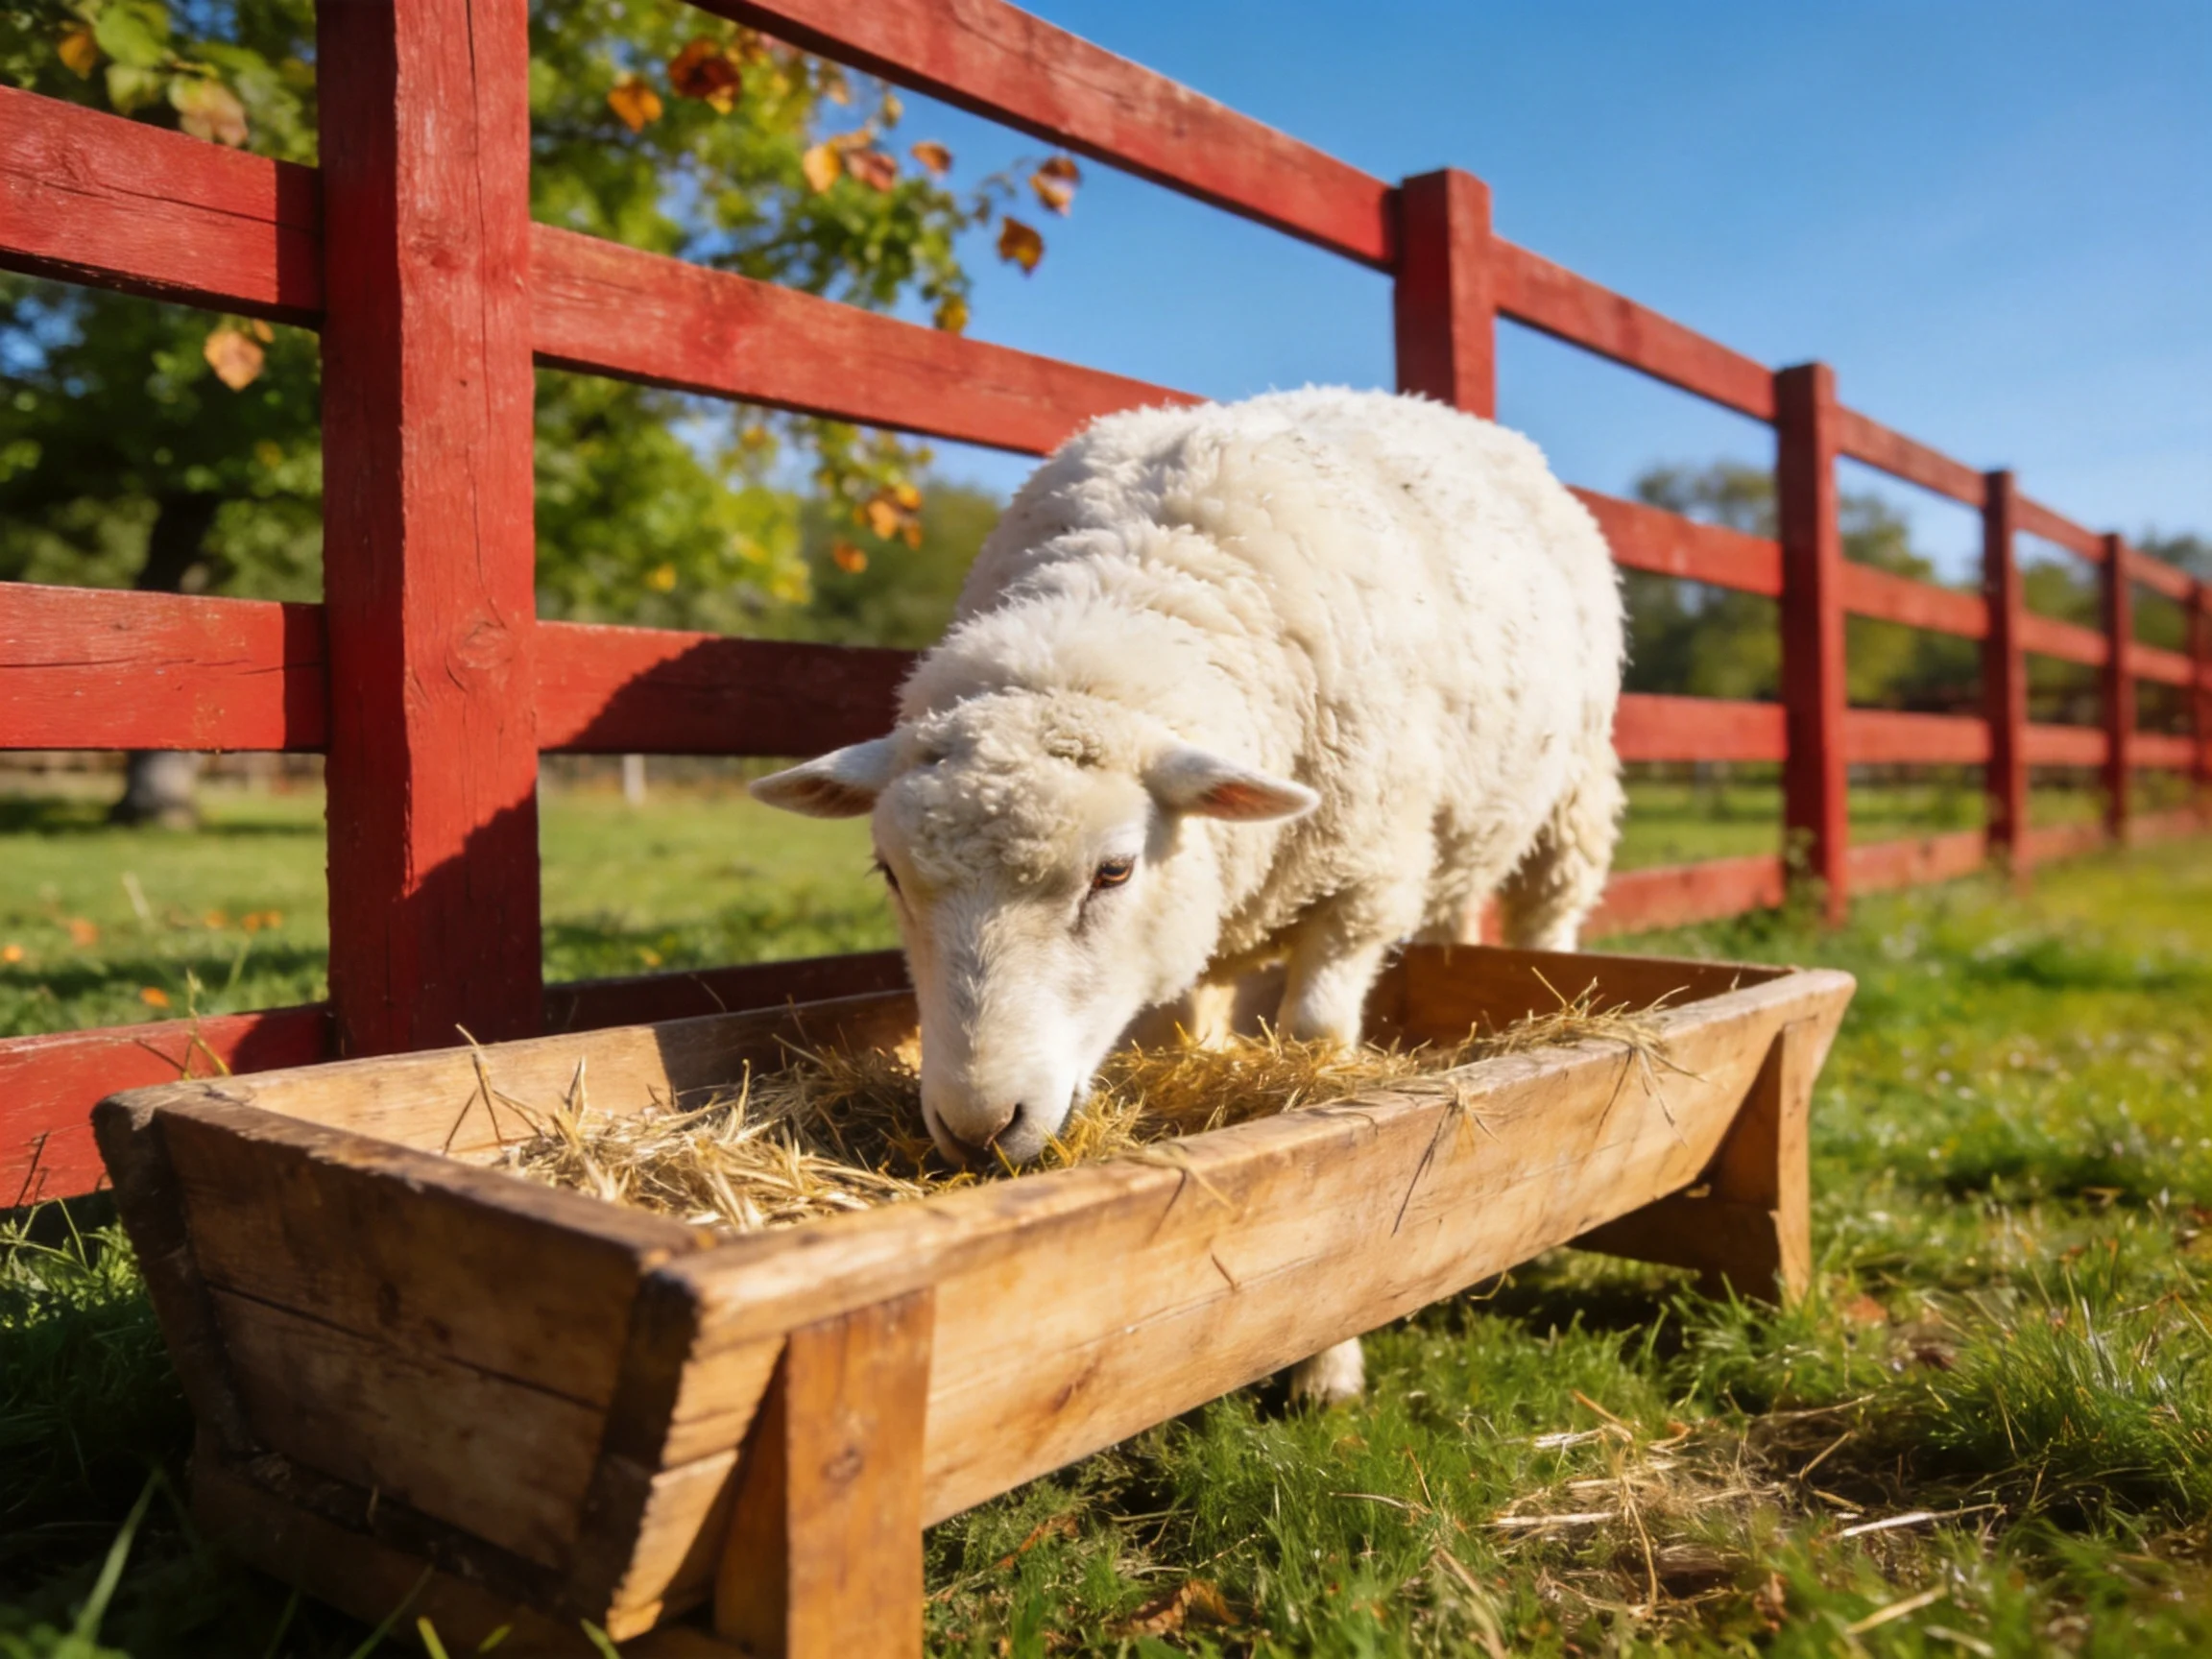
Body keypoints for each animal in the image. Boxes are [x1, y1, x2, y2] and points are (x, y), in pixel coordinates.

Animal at [752, 387, 1624, 1401]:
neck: (1117, 598)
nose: (980, 1126)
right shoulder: (1197, 914)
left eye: (1115, 870)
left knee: (1546, 914)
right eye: (890, 874)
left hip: (1571, 791)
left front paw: (1329, 1355)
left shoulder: (1361, 882)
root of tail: (1442, 408)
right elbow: (1184, 1039)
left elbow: (1317, 1047)